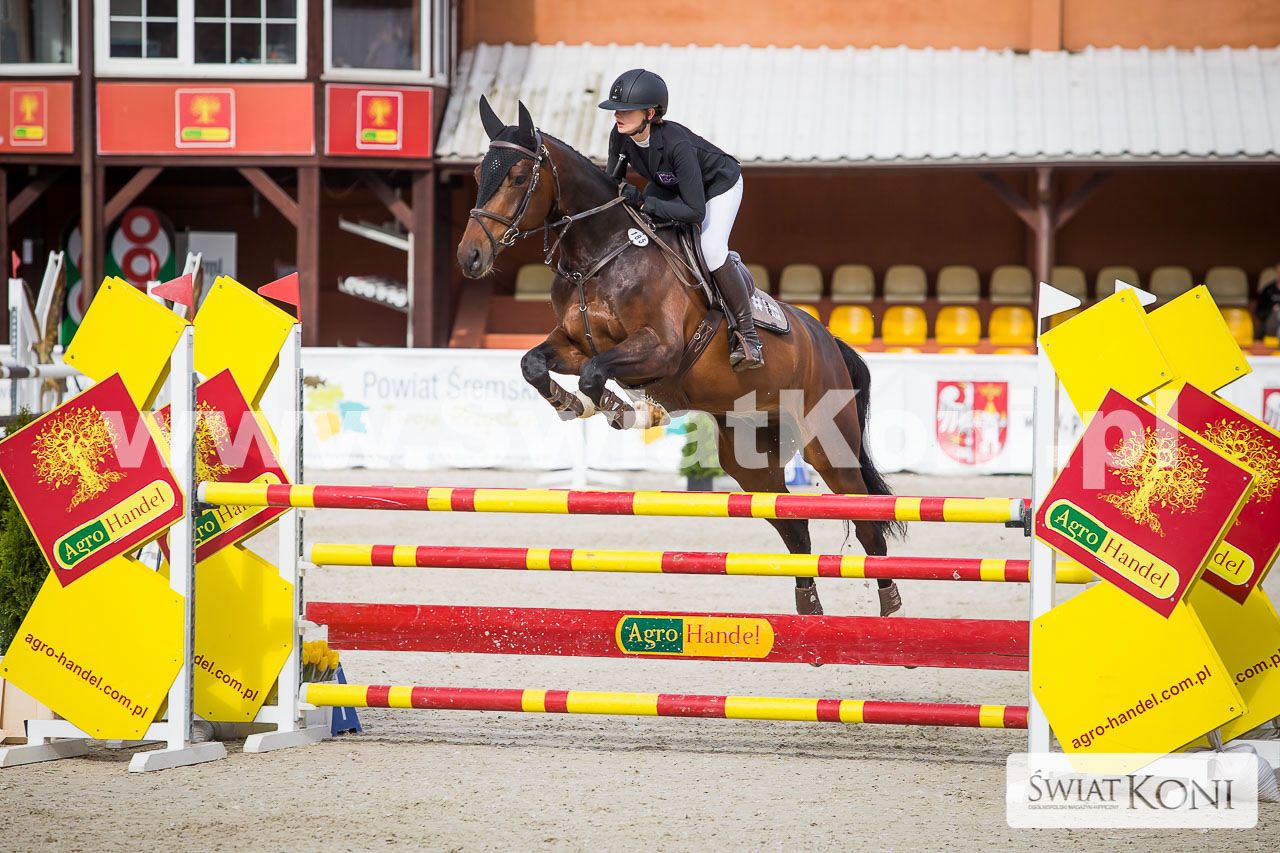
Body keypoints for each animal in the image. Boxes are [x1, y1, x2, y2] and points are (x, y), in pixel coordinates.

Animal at [456, 98, 905, 617]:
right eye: (477, 172)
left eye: (515, 176)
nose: (469, 257)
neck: (599, 254)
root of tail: (828, 339)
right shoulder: (573, 343)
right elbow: (535, 364)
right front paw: (573, 405)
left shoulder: (660, 350)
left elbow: (594, 375)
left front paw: (629, 410)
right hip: (749, 456)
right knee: (792, 525)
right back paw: (809, 608)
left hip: (829, 443)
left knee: (867, 521)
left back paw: (890, 606)